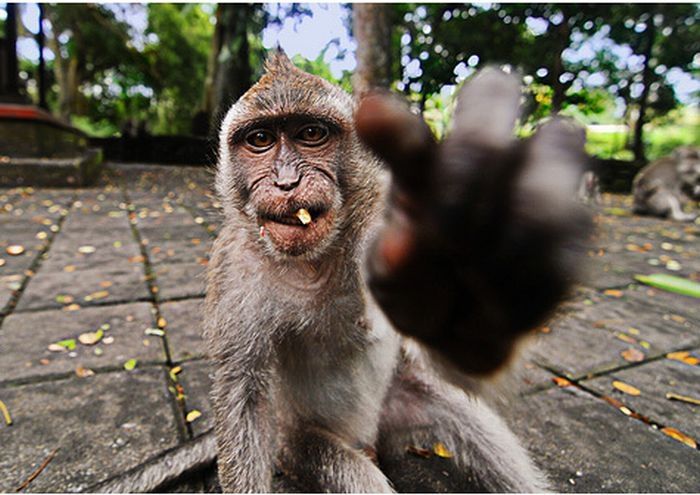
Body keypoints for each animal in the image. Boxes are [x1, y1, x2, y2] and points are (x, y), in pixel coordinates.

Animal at [90, 52, 588, 494]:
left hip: (397, 403)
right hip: (296, 445)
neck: (316, 258)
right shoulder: (234, 273)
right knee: (349, 470)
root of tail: (372, 438)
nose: (286, 182)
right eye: (260, 139)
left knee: (460, 411)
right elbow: (244, 400)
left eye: (311, 133)